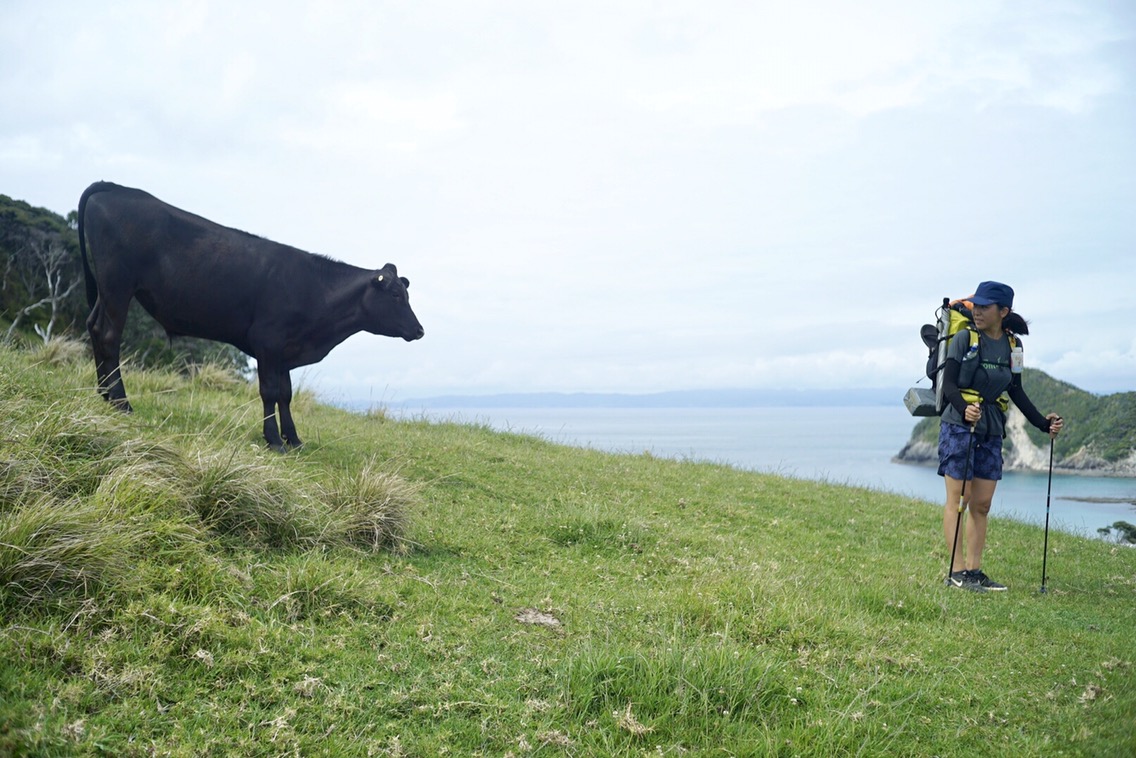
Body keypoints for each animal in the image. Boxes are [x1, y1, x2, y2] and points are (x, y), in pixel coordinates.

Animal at [76, 181, 422, 450]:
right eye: (395, 295)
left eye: (406, 294)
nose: (419, 330)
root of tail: (115, 187)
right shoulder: (268, 341)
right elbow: (269, 391)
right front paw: (274, 440)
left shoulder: (284, 351)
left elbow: (286, 394)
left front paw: (294, 439)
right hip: (118, 284)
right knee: (110, 336)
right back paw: (121, 402)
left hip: (108, 290)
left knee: (94, 327)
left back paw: (104, 395)